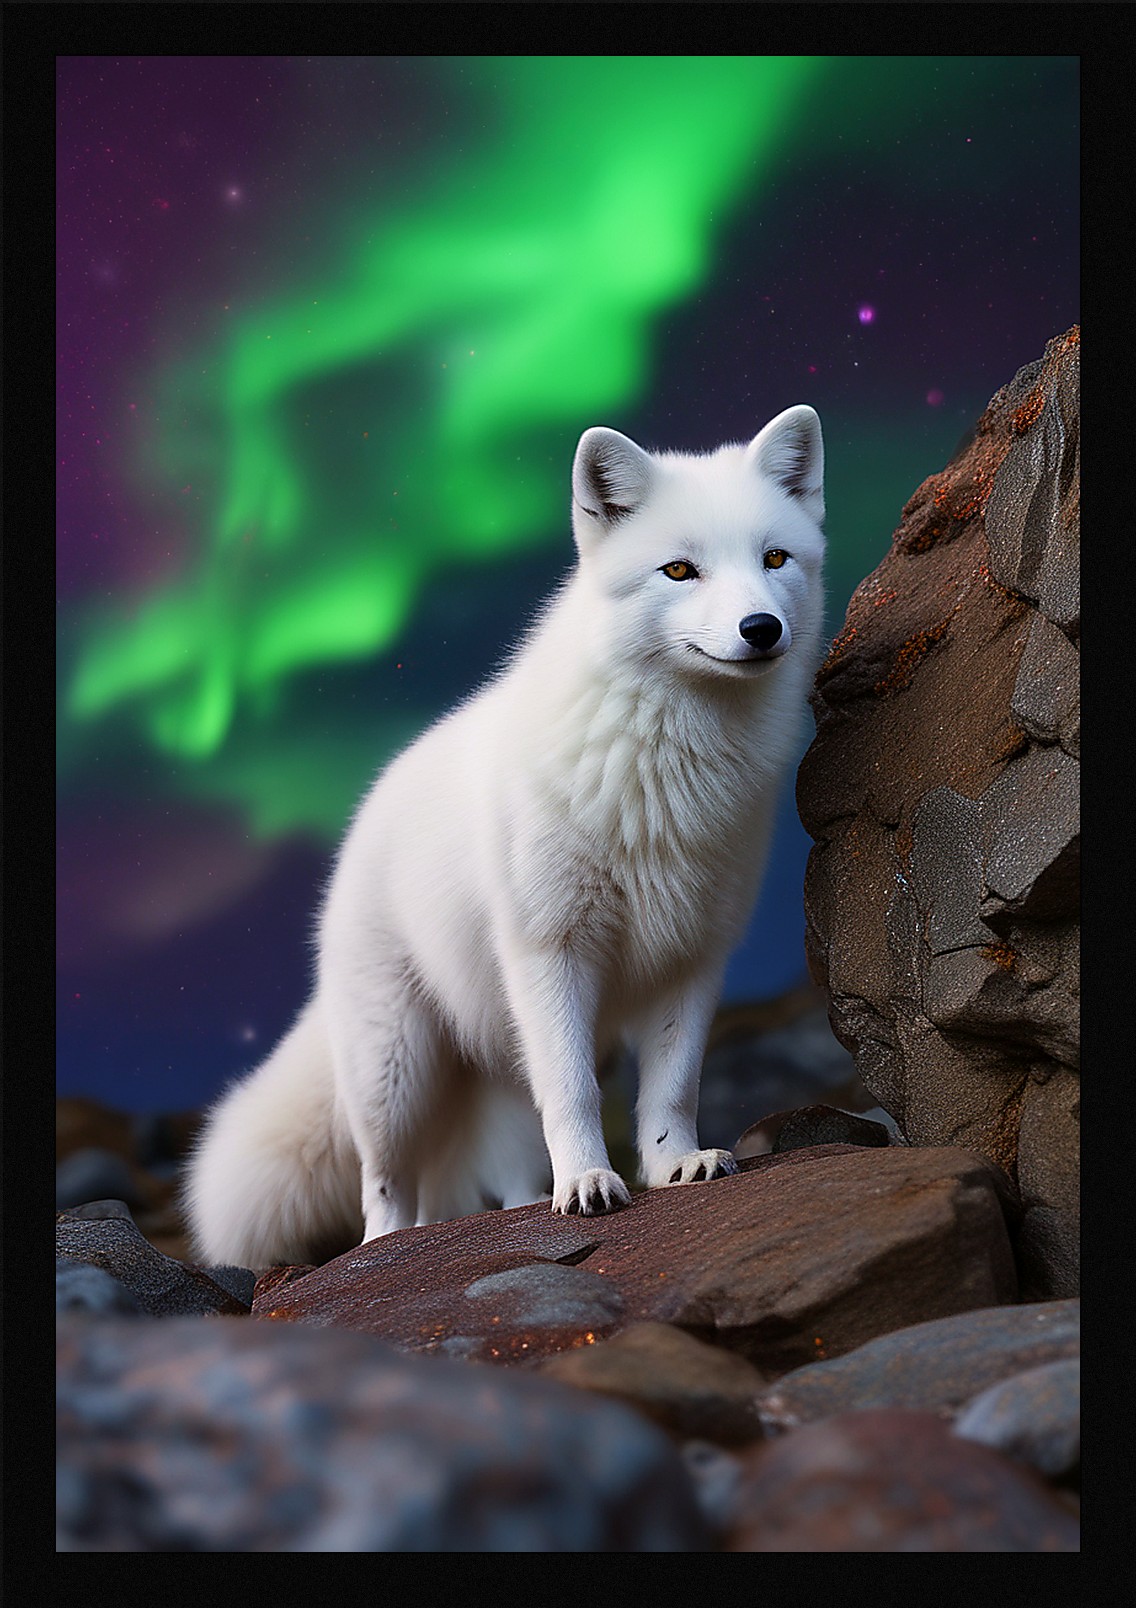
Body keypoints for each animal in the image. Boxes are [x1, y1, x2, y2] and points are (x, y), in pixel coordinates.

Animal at [184, 404, 827, 1268]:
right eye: (679, 571)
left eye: (775, 558)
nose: (761, 628)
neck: (666, 763)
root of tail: (366, 810)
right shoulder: (550, 950)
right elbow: (576, 1094)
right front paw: (589, 1184)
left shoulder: (693, 958)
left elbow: (674, 1086)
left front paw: (672, 1165)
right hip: (395, 1070)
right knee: (385, 1188)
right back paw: (391, 1245)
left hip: (495, 1070)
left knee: (489, 1174)